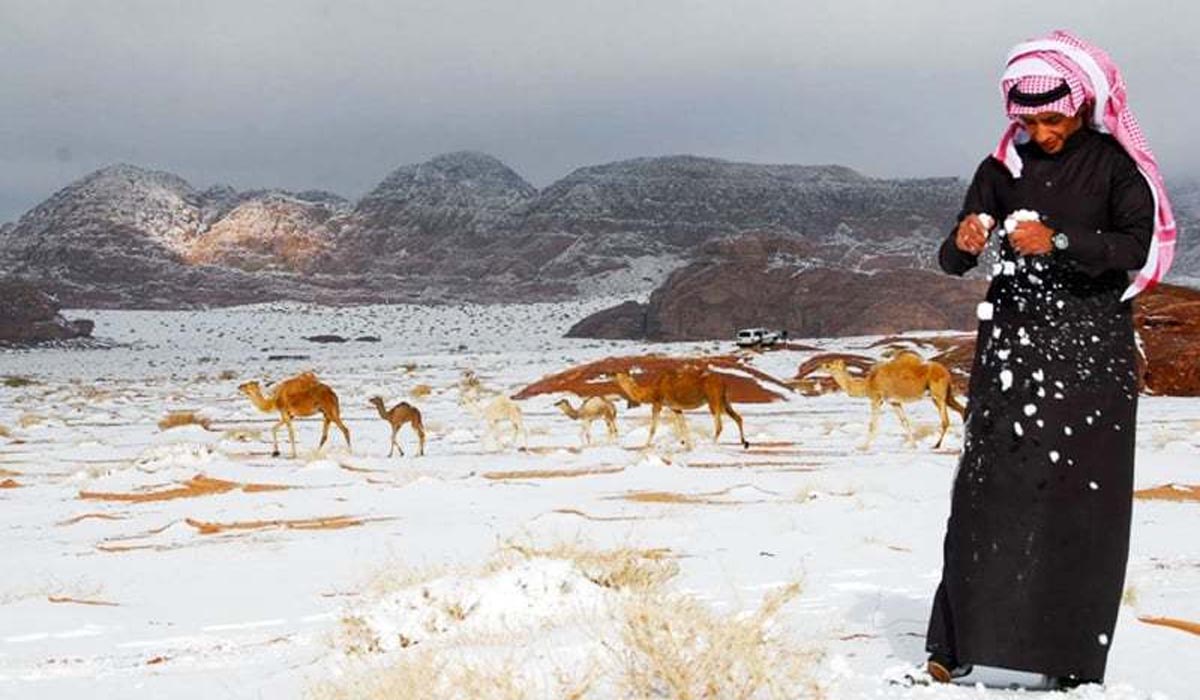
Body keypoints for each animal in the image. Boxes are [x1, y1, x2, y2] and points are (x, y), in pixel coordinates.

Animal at [614, 367, 744, 449]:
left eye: (617, 373)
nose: (611, 374)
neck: (651, 390)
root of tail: (723, 382)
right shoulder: (675, 408)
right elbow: (683, 426)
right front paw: (687, 445)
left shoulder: (657, 403)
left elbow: (653, 429)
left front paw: (645, 445)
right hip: (724, 400)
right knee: (737, 417)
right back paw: (744, 442)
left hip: (713, 399)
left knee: (719, 425)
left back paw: (710, 444)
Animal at [825, 353, 964, 451]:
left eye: (829, 366)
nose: (822, 366)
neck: (868, 383)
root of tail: (947, 373)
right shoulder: (894, 402)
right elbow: (905, 422)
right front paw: (913, 445)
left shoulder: (876, 398)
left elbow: (872, 425)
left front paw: (863, 447)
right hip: (945, 395)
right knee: (961, 410)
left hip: (938, 394)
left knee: (945, 421)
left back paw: (936, 445)